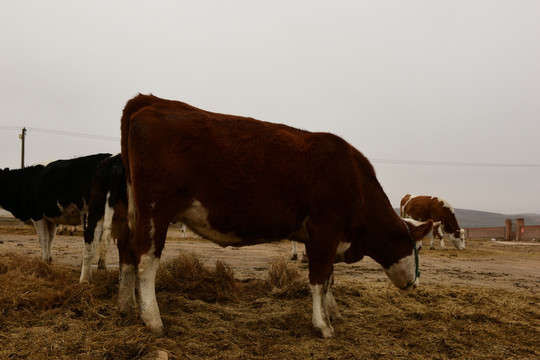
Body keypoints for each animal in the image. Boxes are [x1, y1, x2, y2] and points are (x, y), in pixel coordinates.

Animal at [119, 94, 434, 338]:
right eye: (417, 247)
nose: (416, 284)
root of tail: (151, 101)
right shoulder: (325, 229)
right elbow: (318, 280)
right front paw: (322, 325)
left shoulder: (321, 238)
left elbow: (329, 279)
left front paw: (333, 313)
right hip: (155, 209)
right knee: (146, 260)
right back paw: (153, 320)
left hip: (133, 210)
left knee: (127, 253)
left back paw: (127, 310)